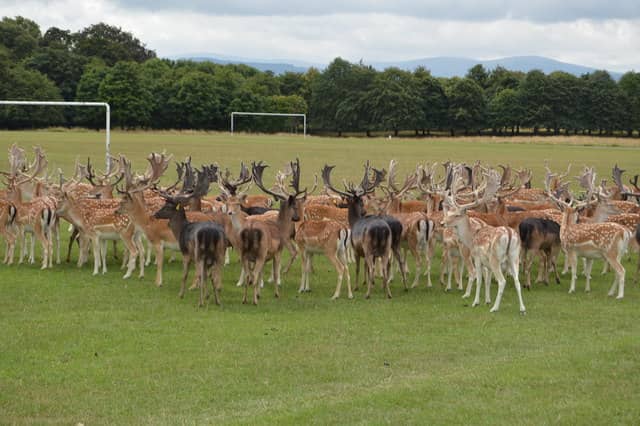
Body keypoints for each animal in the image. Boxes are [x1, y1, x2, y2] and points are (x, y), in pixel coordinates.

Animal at [322, 162, 393, 299]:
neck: (354, 221)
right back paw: (388, 293)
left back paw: (368, 294)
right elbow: (367, 268)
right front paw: (371, 283)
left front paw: (357, 286)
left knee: (372, 267)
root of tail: (381, 229)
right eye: (361, 201)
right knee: (384, 267)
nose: (364, 211)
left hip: (368, 247)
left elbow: (358, 268)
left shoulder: (356, 248)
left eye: (346, 199)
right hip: (386, 248)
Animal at [442, 168, 526, 314]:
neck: (471, 239)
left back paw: (495, 308)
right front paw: (487, 300)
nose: (442, 223)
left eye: (456, 215)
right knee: (517, 281)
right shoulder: (487, 264)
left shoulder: (477, 258)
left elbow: (479, 279)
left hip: (495, 258)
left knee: (502, 281)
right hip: (514, 257)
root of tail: (510, 234)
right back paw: (522, 308)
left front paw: (476, 302)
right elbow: (487, 280)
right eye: (449, 212)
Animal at [545, 168, 630, 299]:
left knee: (621, 271)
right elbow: (588, 271)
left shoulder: (572, 251)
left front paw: (571, 289)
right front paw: (587, 289)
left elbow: (574, 270)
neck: (566, 231)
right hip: (619, 253)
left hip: (610, 252)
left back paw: (619, 296)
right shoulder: (589, 256)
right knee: (618, 272)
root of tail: (624, 232)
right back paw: (610, 293)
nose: (578, 217)